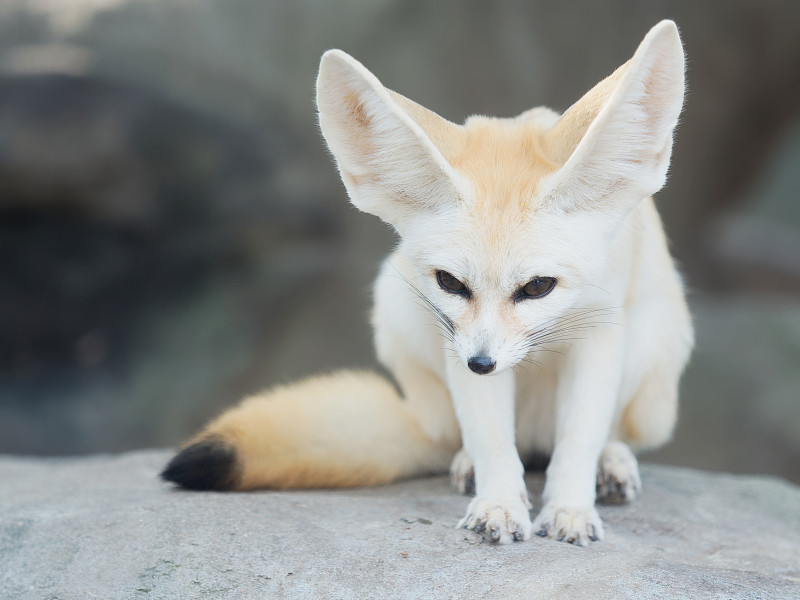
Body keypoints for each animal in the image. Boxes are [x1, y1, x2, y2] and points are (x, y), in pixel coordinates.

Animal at [164, 19, 692, 544]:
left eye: (538, 287)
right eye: (450, 282)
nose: (481, 364)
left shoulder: (599, 329)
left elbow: (580, 436)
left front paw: (569, 508)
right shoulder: (455, 335)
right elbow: (489, 437)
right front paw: (500, 503)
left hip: (653, 348)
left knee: (609, 433)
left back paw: (612, 462)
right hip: (395, 305)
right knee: (462, 437)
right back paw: (468, 464)